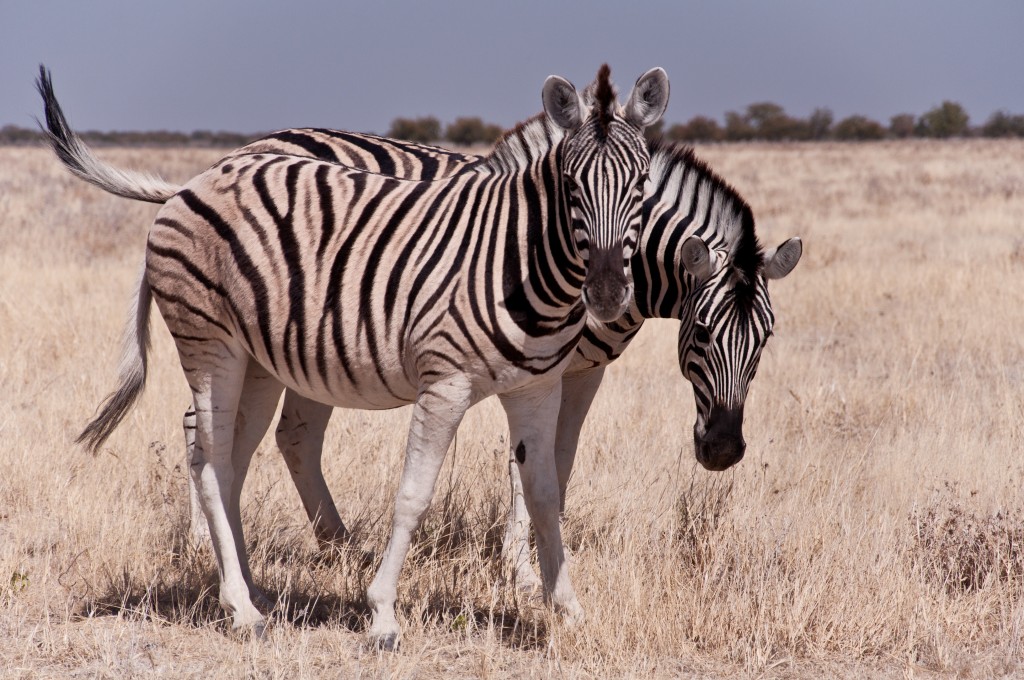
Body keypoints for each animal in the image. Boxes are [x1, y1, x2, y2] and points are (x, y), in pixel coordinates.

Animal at [39, 65, 667, 647]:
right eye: (571, 185)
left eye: (641, 184)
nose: (607, 293)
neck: (519, 259)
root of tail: (191, 183)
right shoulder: (446, 384)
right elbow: (413, 495)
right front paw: (383, 614)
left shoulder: (538, 388)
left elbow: (545, 493)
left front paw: (567, 607)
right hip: (210, 344)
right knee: (209, 463)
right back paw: (242, 609)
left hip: (258, 362)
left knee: (232, 462)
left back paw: (250, 588)